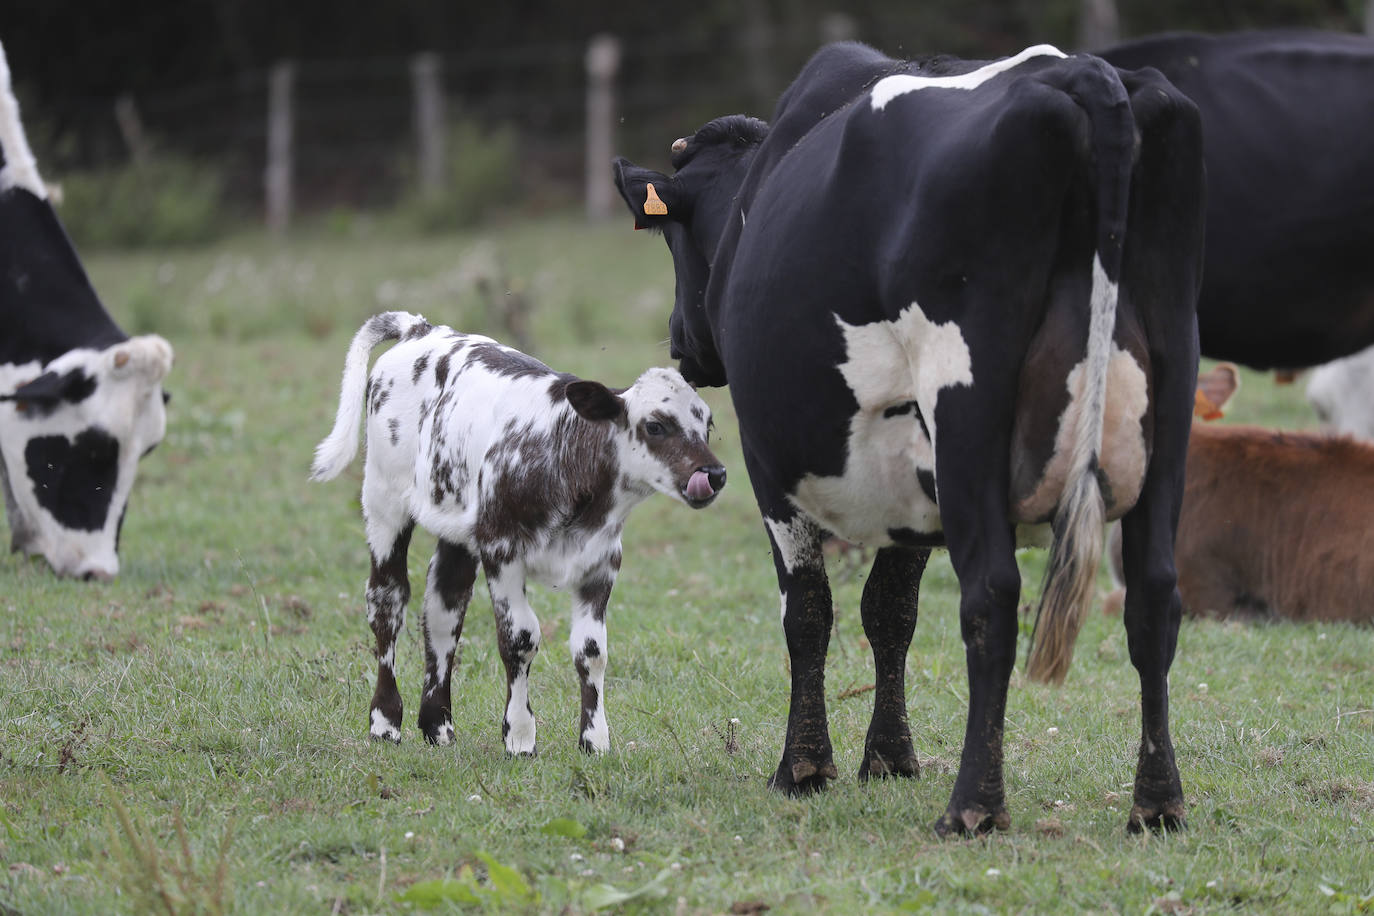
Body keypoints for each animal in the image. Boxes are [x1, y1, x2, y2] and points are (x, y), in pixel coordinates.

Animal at [307, 311, 725, 758]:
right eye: (655, 425)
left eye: (707, 424)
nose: (714, 474)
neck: (565, 455)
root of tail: (421, 328)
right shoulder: (501, 549)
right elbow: (520, 639)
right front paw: (520, 738)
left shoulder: (602, 561)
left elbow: (591, 650)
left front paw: (594, 740)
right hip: (384, 501)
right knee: (387, 602)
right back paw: (386, 722)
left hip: (457, 530)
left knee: (442, 611)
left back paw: (438, 725)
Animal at [612, 41, 1203, 840]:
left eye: (675, 237)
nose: (683, 340)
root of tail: (1082, 71)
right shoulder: (909, 481)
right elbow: (890, 612)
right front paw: (889, 757)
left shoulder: (770, 468)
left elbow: (809, 612)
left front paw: (804, 768)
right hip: (1169, 398)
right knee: (1155, 598)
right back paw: (1157, 801)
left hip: (966, 408)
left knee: (992, 595)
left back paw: (973, 805)